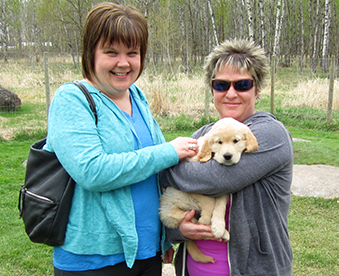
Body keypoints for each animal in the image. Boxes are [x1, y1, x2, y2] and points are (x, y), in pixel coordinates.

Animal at [161, 116, 258, 264]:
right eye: (219, 142)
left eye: (236, 141)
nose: (227, 156)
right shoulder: (192, 183)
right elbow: (209, 202)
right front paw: (207, 219)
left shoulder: (222, 189)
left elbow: (220, 206)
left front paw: (218, 226)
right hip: (171, 214)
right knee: (190, 222)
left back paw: (223, 233)